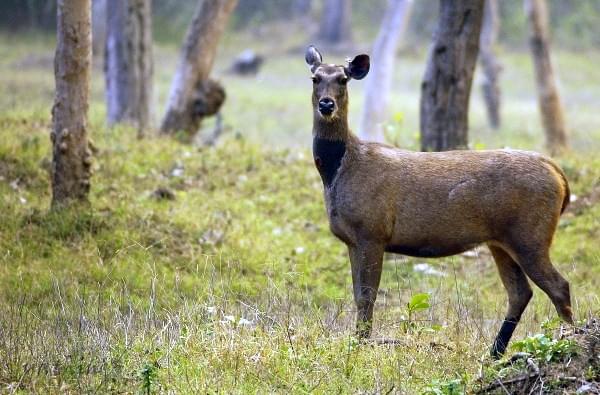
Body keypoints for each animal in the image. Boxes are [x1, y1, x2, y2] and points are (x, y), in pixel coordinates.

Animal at [308, 44, 576, 358]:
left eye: (343, 79)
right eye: (315, 78)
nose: (326, 105)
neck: (338, 170)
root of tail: (559, 175)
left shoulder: (372, 232)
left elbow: (367, 296)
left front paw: (361, 346)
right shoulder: (352, 240)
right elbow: (357, 295)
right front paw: (358, 342)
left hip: (530, 234)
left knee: (559, 287)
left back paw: (568, 342)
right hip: (501, 240)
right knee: (520, 292)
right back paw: (494, 352)